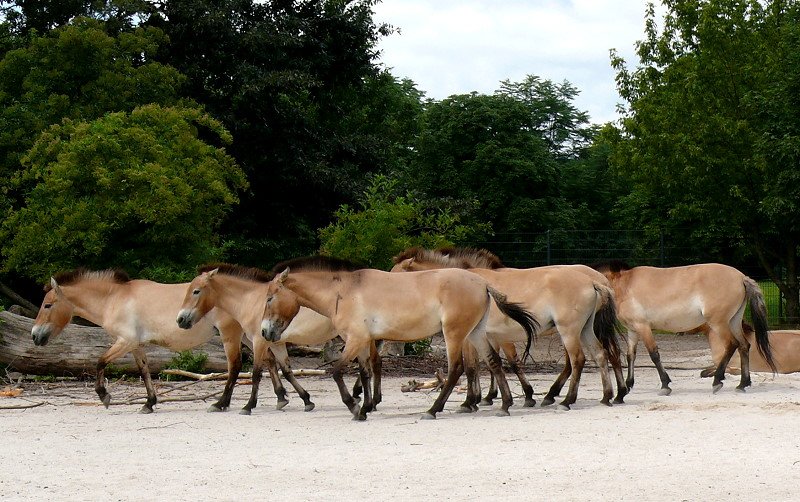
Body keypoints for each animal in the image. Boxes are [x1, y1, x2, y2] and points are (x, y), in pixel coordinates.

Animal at [30, 268, 247, 414]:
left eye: (47, 305)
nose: (34, 335)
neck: (113, 299)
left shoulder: (125, 341)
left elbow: (100, 362)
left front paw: (104, 396)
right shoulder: (136, 345)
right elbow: (144, 371)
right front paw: (149, 403)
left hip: (230, 336)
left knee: (234, 366)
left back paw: (221, 404)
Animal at [260, 256, 536, 418]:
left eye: (270, 298)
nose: (265, 332)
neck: (342, 292)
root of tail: (482, 283)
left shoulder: (355, 340)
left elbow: (337, 371)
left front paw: (354, 406)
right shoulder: (363, 342)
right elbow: (365, 371)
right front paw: (366, 406)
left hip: (454, 335)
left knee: (456, 369)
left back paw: (433, 410)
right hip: (475, 333)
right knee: (493, 363)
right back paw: (505, 405)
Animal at [392, 248, 624, 412]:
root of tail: (595, 281)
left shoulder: (474, 338)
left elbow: (476, 367)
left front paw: (471, 402)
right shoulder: (488, 337)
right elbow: (488, 365)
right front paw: (482, 398)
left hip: (570, 331)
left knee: (580, 360)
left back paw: (567, 400)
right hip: (583, 330)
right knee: (601, 355)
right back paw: (606, 396)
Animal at [592, 260, 776, 394]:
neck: (624, 286)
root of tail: (741, 277)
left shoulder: (643, 327)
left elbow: (654, 354)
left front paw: (665, 385)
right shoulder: (633, 330)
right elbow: (631, 356)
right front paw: (629, 384)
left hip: (719, 323)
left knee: (732, 345)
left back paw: (717, 381)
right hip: (734, 321)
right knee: (744, 346)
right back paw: (743, 384)